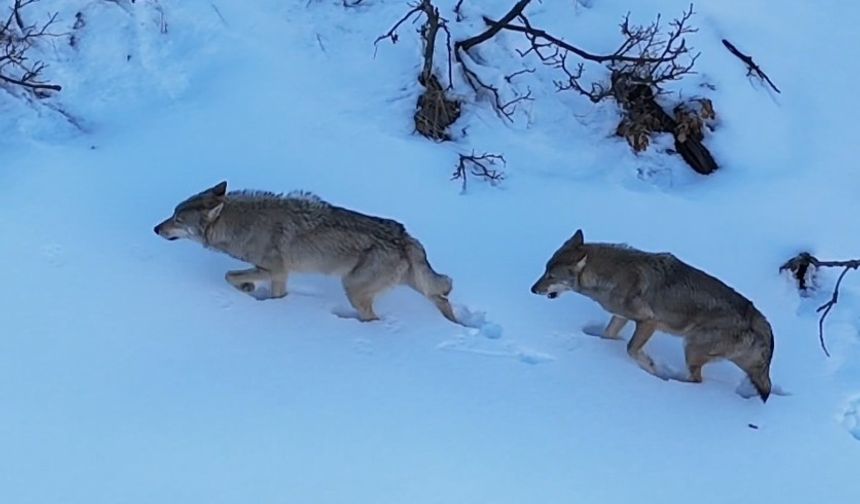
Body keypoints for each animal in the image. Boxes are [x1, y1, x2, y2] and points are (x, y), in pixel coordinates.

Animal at [155, 180, 464, 322]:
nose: (156, 228)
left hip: (353, 288)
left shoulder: (275, 269)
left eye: (177, 220)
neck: (242, 225)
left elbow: (229, 275)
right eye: (172, 213)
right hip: (413, 285)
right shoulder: (281, 275)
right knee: (441, 296)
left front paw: (247, 289)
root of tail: (405, 237)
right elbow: (271, 292)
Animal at [528, 229, 776, 402]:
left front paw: (652, 368)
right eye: (545, 270)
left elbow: (631, 350)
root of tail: (757, 317)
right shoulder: (621, 317)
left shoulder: (649, 322)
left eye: (550, 276)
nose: (532, 289)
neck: (610, 277)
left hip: (691, 348)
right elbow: (607, 336)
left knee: (697, 381)